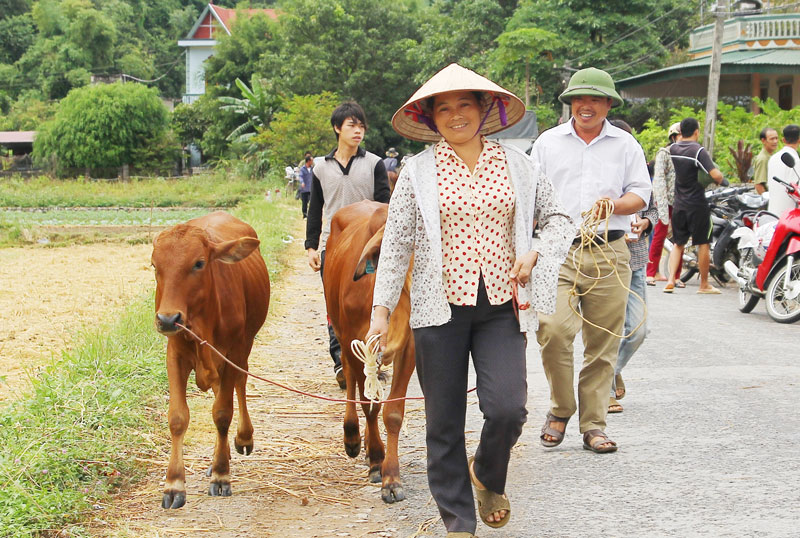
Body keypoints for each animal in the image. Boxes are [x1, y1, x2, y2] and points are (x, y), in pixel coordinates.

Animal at [152, 209, 270, 506]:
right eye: (154, 265)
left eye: (199, 263)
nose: (167, 319)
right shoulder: (175, 354)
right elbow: (178, 417)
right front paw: (174, 484)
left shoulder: (233, 352)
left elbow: (222, 412)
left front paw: (221, 475)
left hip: (244, 347)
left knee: (239, 385)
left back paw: (242, 438)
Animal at [322, 199, 416, 500]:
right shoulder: (356, 341)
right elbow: (368, 405)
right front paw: (376, 459)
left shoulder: (409, 348)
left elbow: (392, 413)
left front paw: (391, 477)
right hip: (341, 332)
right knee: (351, 379)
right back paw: (352, 437)